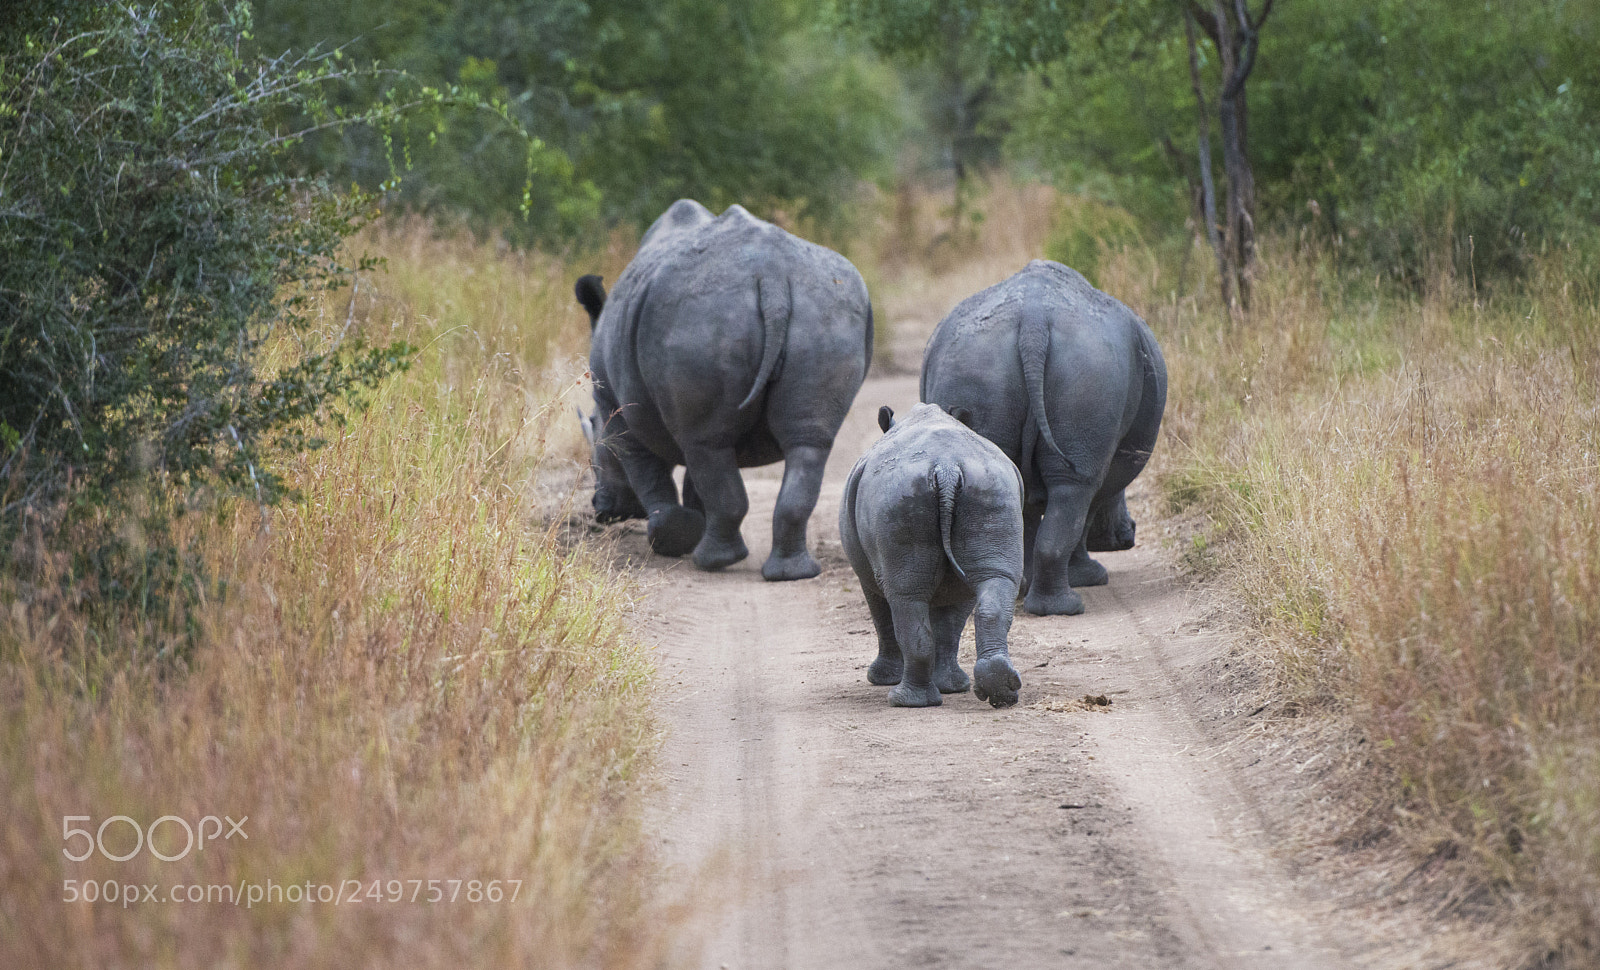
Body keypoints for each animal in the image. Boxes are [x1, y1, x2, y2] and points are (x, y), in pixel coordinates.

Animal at [575, 200, 873, 580]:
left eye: (594, 454)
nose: (601, 509)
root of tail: (772, 276)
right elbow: (696, 478)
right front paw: (689, 528)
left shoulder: (614, 405)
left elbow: (646, 467)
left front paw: (670, 538)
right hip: (826, 313)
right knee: (802, 442)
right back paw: (790, 572)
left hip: (695, 319)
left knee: (706, 445)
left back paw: (710, 562)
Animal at [839, 403, 1026, 708]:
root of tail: (947, 467)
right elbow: (950, 622)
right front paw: (953, 687)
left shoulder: (866, 576)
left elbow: (881, 615)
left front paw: (880, 679)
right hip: (991, 487)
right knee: (989, 582)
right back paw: (999, 691)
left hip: (897, 496)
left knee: (905, 596)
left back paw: (904, 700)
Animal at [921, 259, 1167, 616]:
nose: (1129, 535)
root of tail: (1033, 323)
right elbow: (1084, 513)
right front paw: (1089, 578)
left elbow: (1027, 516)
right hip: (1092, 367)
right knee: (1074, 488)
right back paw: (1067, 607)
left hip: (978, 361)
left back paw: (1024, 593)